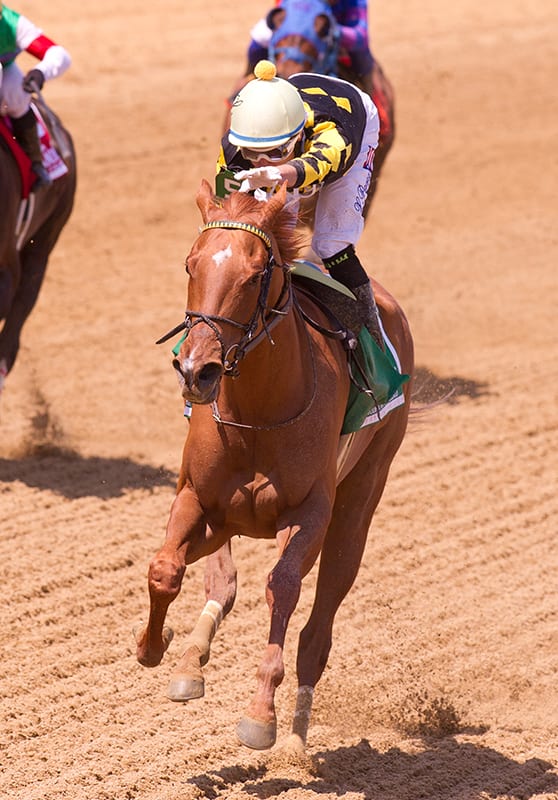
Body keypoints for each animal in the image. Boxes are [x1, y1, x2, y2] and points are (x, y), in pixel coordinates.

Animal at [137, 180, 416, 752]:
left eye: (252, 274)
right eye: (190, 265)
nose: (196, 370)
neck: (258, 414)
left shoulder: (309, 511)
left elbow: (283, 587)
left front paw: (261, 716)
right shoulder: (198, 496)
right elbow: (165, 569)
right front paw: (153, 645)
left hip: (360, 499)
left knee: (317, 631)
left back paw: (296, 742)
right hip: (227, 517)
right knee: (220, 581)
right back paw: (189, 661)